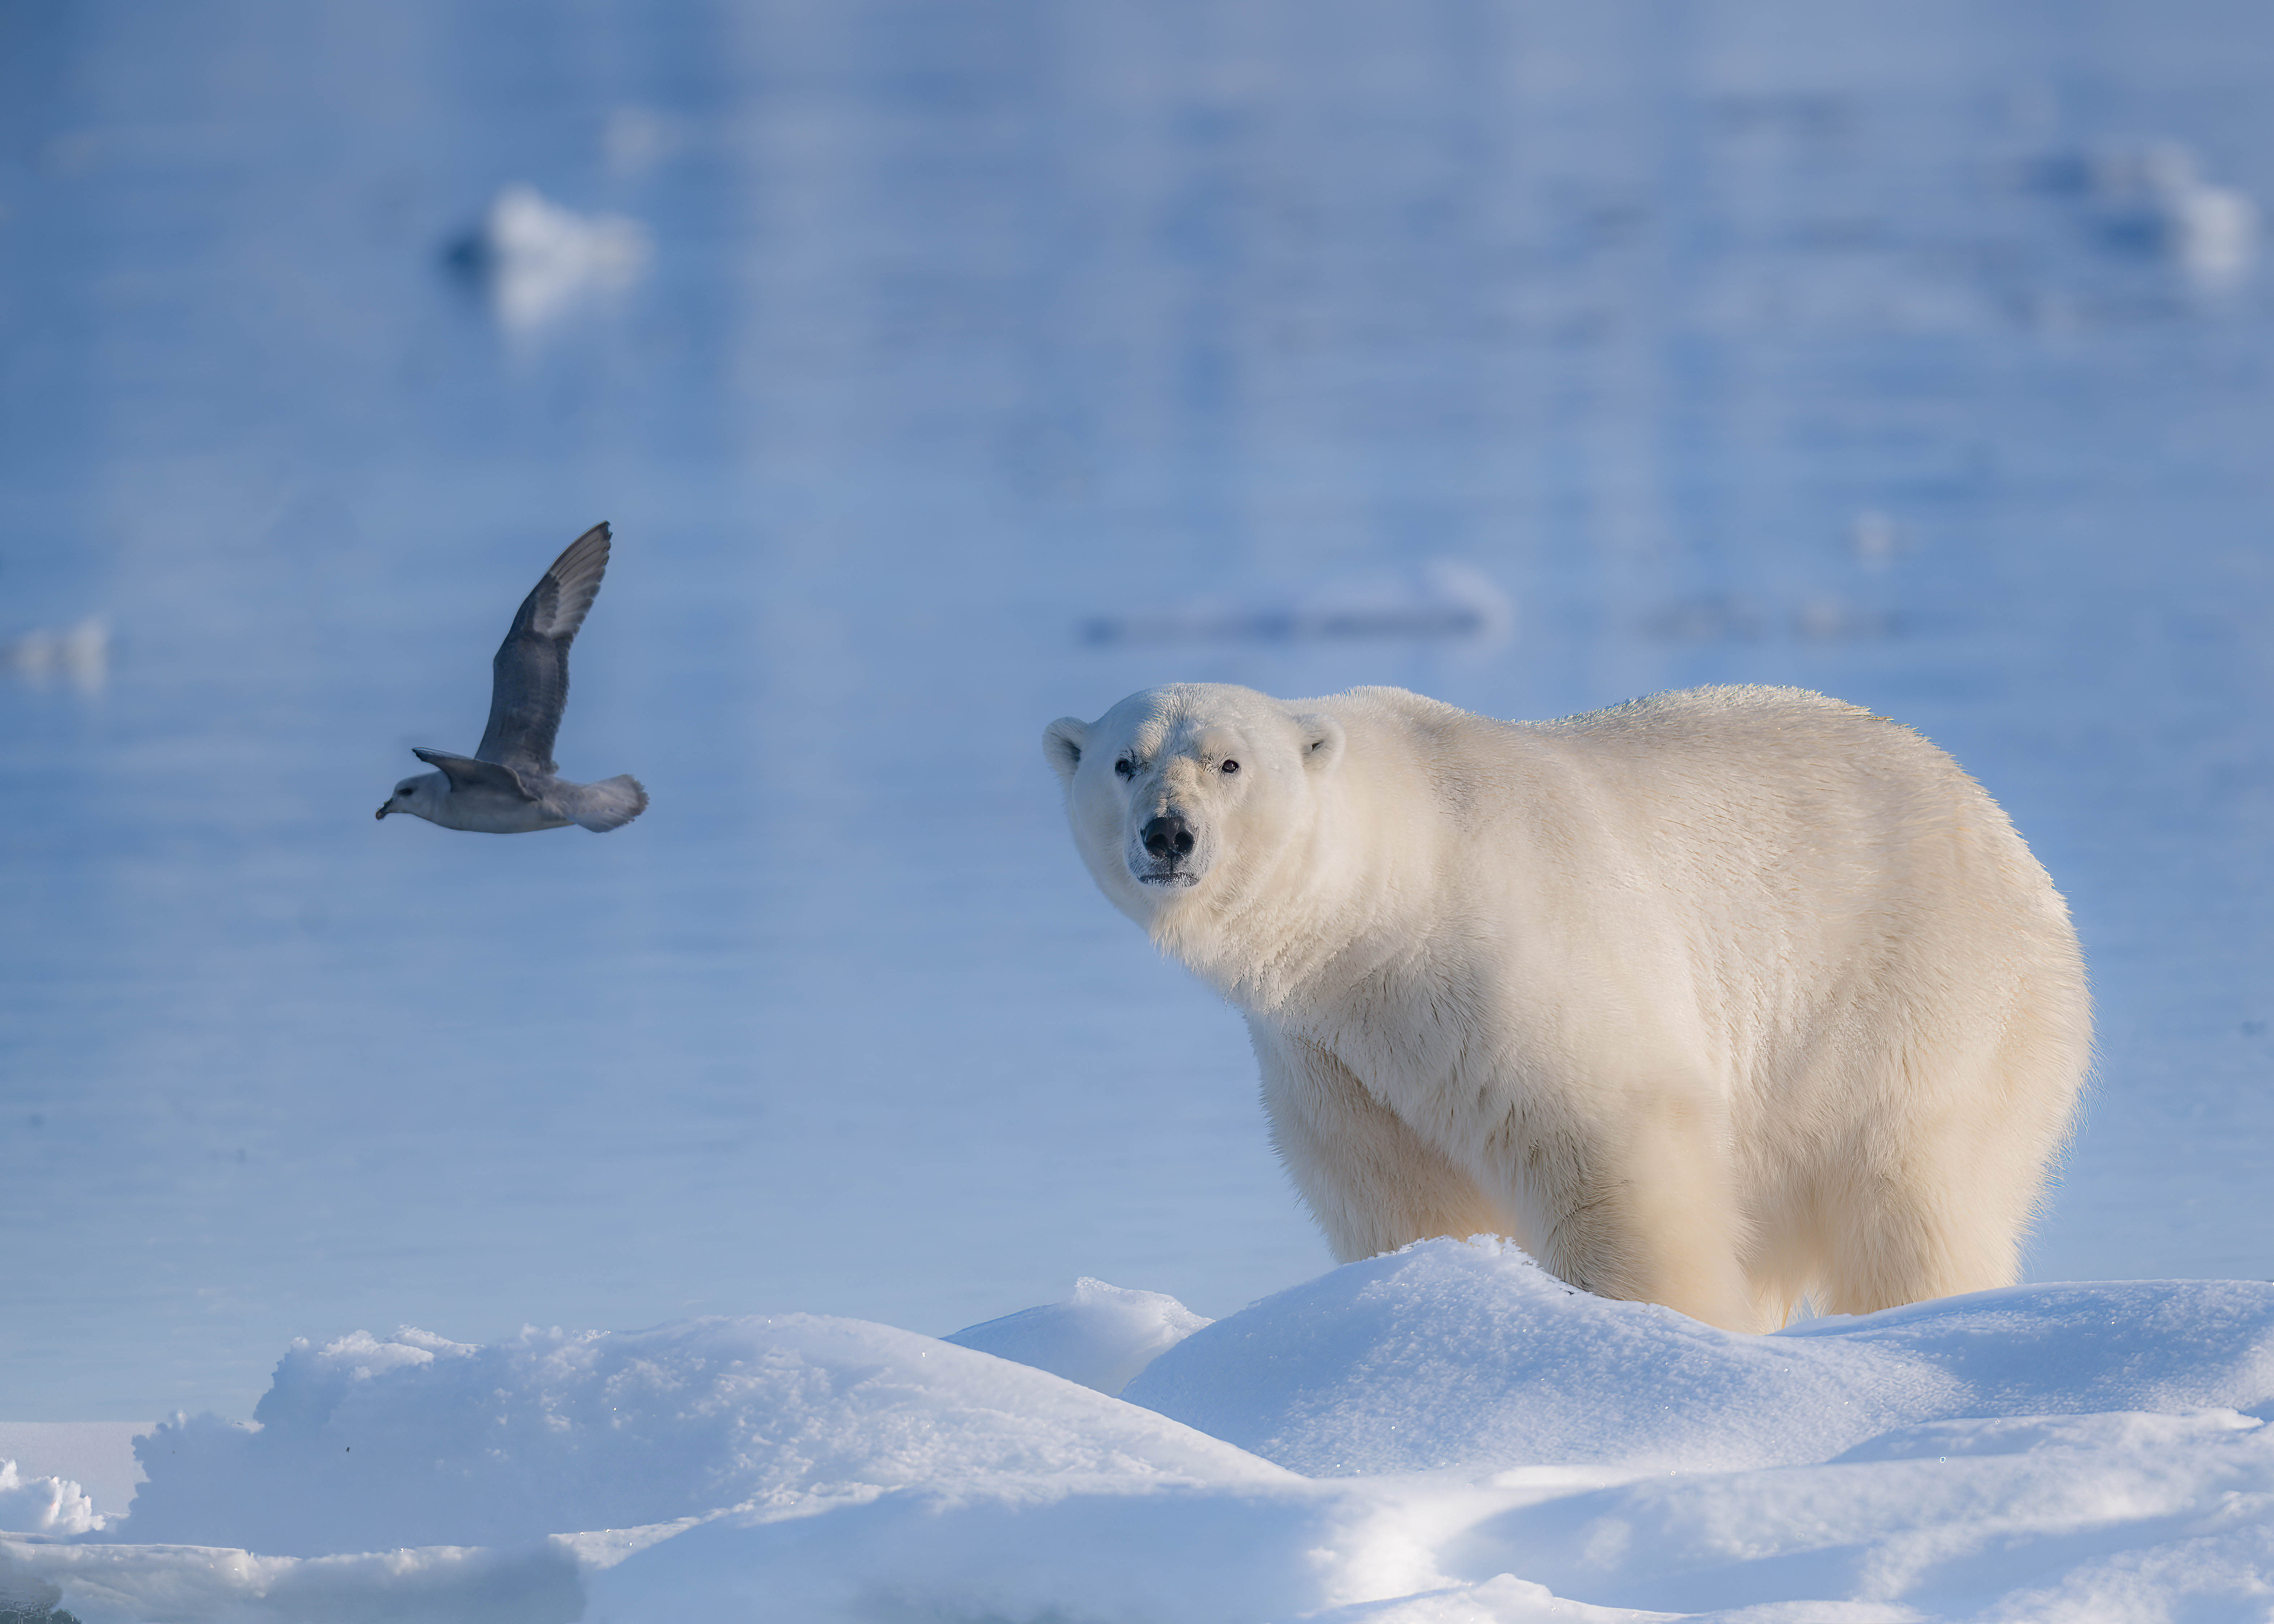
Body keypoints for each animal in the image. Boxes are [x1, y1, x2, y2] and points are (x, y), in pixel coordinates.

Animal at [1043, 683, 2090, 1333]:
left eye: (1227, 763)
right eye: (1124, 761)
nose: (1168, 834)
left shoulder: (1510, 952)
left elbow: (1613, 1141)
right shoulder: (1332, 1052)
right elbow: (1397, 1192)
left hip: (1916, 1003)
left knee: (1915, 1198)